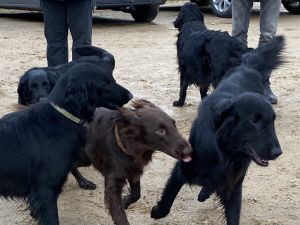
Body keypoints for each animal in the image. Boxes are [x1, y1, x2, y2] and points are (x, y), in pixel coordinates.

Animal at [151, 35, 284, 225]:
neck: (224, 152)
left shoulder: (233, 186)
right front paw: (157, 211)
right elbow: (168, 198)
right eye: (253, 121)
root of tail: (246, 66)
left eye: (273, 121)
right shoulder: (182, 168)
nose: (277, 152)